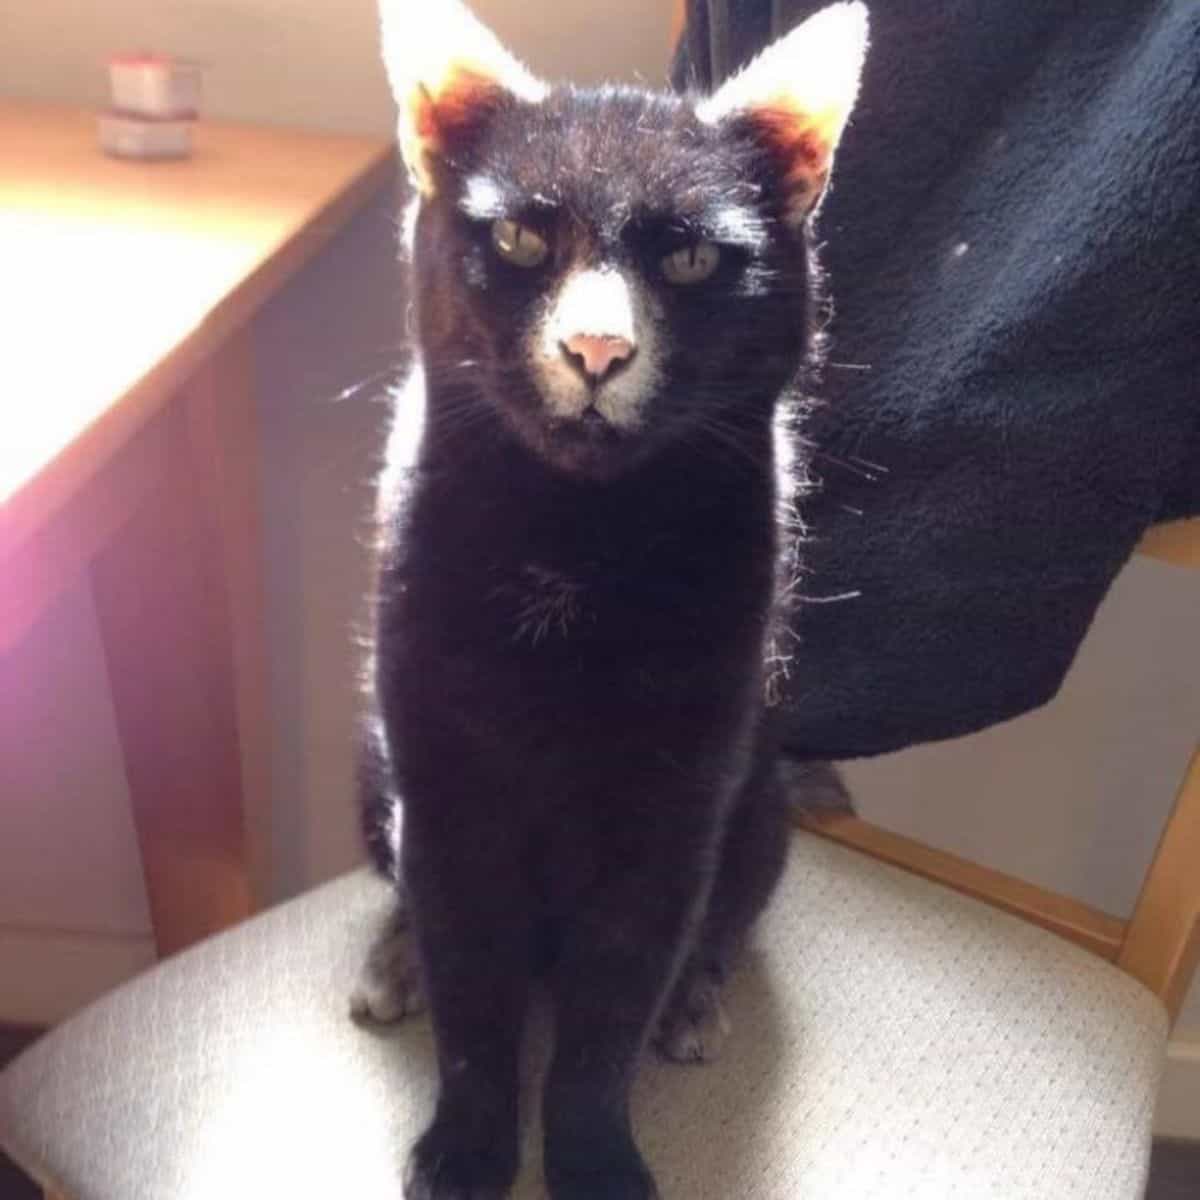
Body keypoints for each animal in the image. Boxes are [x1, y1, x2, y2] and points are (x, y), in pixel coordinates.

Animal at [357, 4, 873, 1195]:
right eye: (520, 242)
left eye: (688, 257)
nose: (596, 347)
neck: (573, 546)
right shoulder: (444, 786)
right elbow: (473, 991)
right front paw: (467, 1147)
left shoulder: (671, 809)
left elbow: (607, 1015)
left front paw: (592, 1156)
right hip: (374, 765)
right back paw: (392, 963)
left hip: (759, 805)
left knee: (716, 930)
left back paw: (694, 1007)